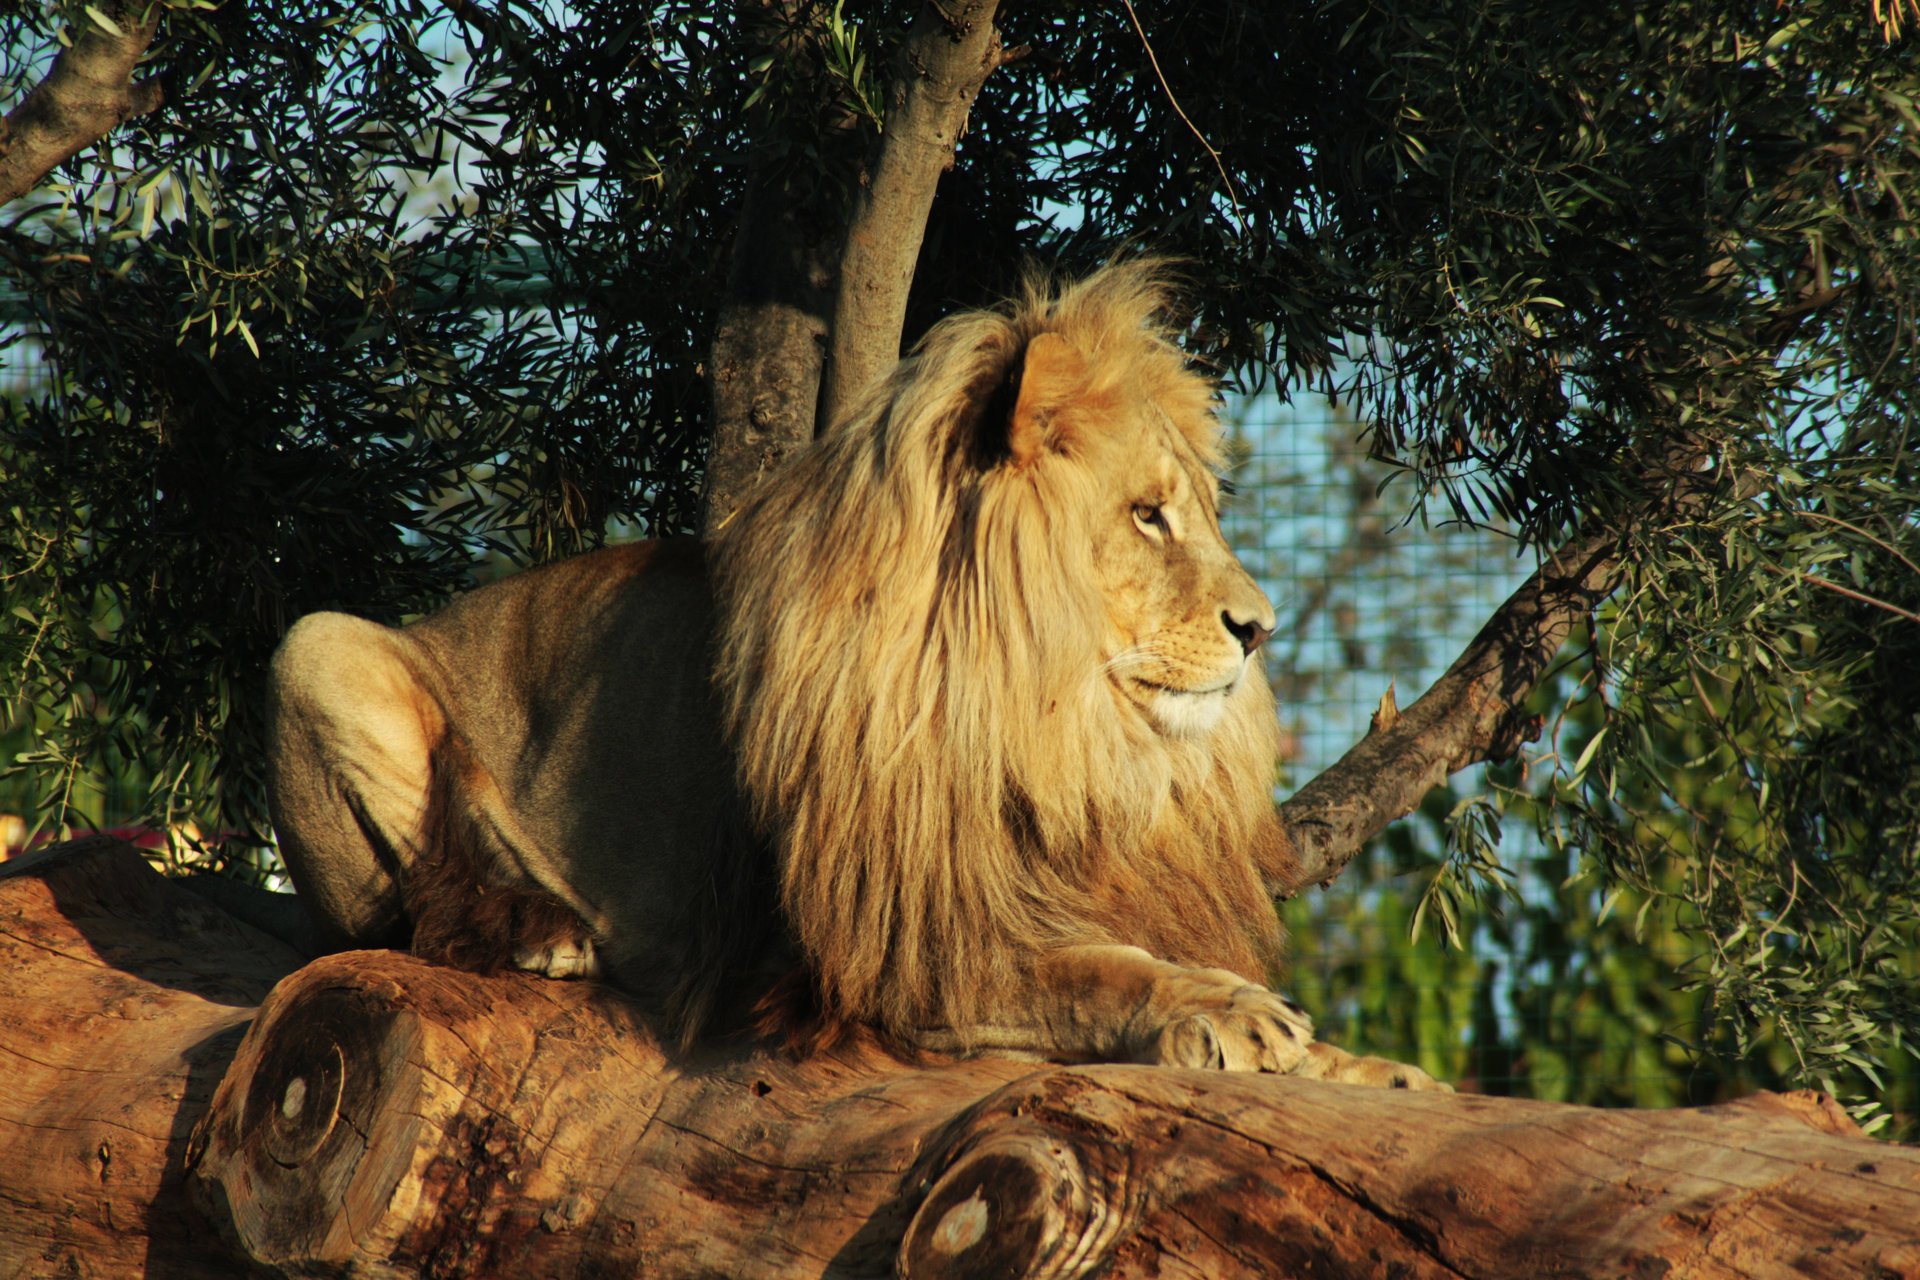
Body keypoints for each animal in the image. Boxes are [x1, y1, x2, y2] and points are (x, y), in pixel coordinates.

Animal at [265, 261, 1442, 1088]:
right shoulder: (895, 951)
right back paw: (539, 931)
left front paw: (1371, 1068)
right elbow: (1091, 968)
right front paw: (1226, 1007)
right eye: (1148, 515)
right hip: (315, 645)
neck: (1052, 727)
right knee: (409, 913)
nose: (1261, 626)